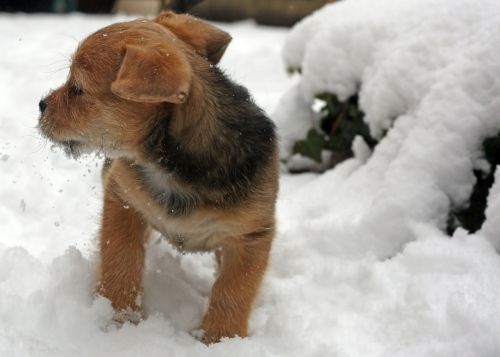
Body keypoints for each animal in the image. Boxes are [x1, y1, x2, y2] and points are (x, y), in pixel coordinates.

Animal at [38, 12, 280, 344]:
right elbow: (122, 258)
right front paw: (121, 318)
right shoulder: (123, 199)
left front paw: (221, 339)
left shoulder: (250, 235)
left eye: (78, 88)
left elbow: (233, 289)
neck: (173, 168)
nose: (40, 105)